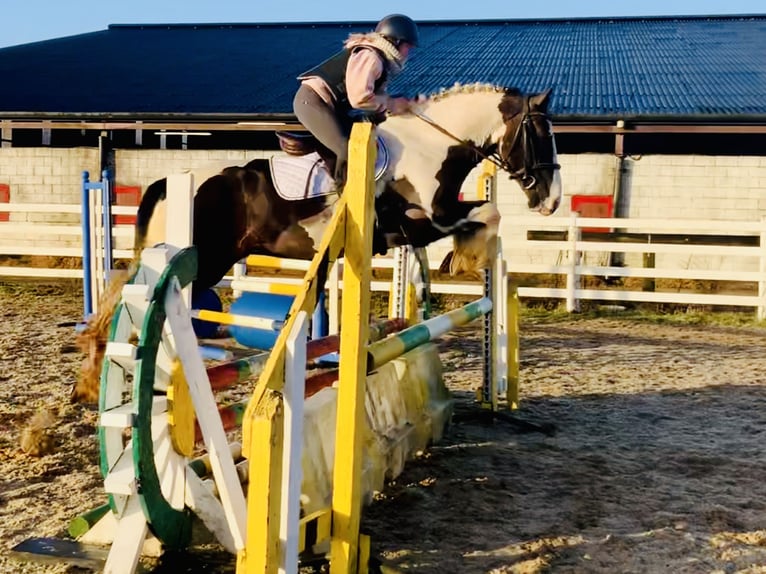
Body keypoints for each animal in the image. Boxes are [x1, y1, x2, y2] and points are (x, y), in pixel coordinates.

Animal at [72, 83, 564, 404]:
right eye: (540, 134)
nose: (552, 200)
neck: (432, 148)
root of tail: (168, 183)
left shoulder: (419, 228)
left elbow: (483, 218)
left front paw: (459, 263)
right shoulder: (420, 223)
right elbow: (487, 214)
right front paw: (465, 259)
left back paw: (93, 381)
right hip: (203, 262)